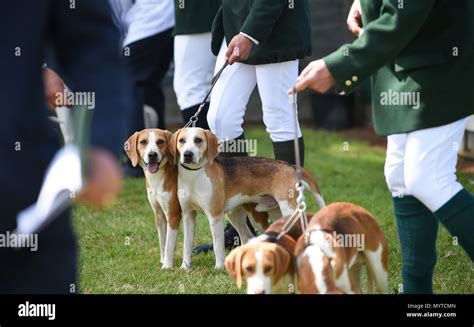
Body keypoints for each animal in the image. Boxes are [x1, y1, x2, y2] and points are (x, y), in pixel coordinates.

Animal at [124, 129, 180, 270]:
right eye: (143, 142)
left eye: (160, 141)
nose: (152, 155)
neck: (157, 178)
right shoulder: (159, 215)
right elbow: (163, 242)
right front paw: (163, 260)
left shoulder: (173, 215)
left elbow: (169, 244)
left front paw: (167, 266)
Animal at [170, 127, 326, 270]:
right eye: (181, 141)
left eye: (198, 140)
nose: (187, 154)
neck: (193, 176)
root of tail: (290, 166)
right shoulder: (188, 216)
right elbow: (186, 245)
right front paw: (185, 267)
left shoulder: (215, 217)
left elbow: (218, 246)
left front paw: (219, 267)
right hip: (248, 214)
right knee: (251, 237)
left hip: (288, 210)